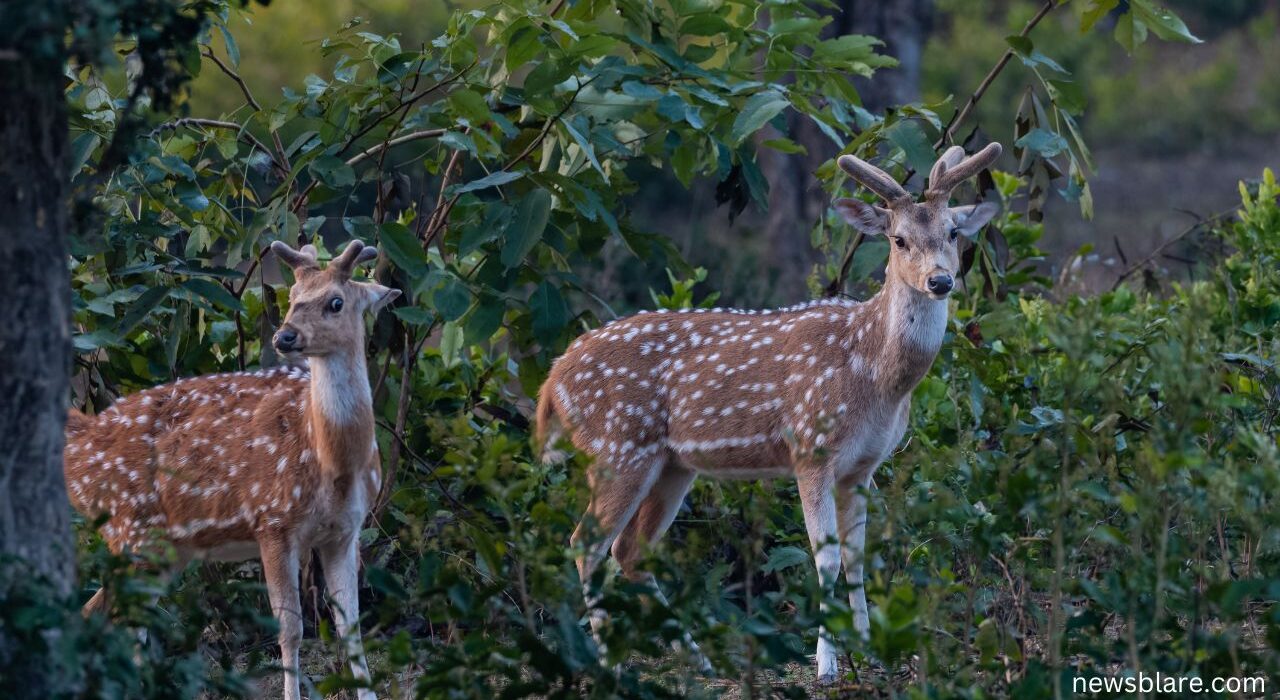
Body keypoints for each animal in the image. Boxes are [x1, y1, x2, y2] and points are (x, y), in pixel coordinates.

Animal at [60, 239, 396, 700]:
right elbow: (291, 629)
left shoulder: (345, 531)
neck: (332, 461)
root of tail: (78, 445)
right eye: (292, 297)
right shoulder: (271, 519)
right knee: (106, 616)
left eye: (335, 302)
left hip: (165, 548)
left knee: (111, 615)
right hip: (129, 529)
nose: (284, 335)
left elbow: (352, 630)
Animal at [535, 143, 1003, 685]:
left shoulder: (864, 465)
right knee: (585, 543)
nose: (941, 280)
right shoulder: (811, 448)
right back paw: (609, 660)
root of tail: (553, 378)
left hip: (671, 465)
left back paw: (698, 658)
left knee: (628, 550)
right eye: (898, 238)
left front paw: (869, 648)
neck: (874, 374)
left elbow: (857, 557)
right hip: (617, 446)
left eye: (952, 231)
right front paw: (827, 664)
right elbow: (825, 558)